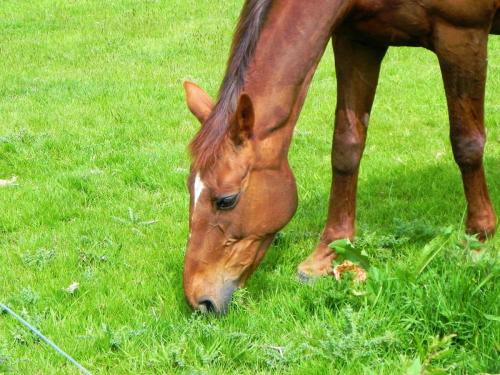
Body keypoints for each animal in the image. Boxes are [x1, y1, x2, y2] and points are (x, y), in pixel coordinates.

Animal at [182, 0, 498, 314]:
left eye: (226, 200)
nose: (200, 301)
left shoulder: (462, 36)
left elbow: (466, 143)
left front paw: (478, 240)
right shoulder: (357, 40)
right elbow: (346, 147)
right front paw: (327, 252)